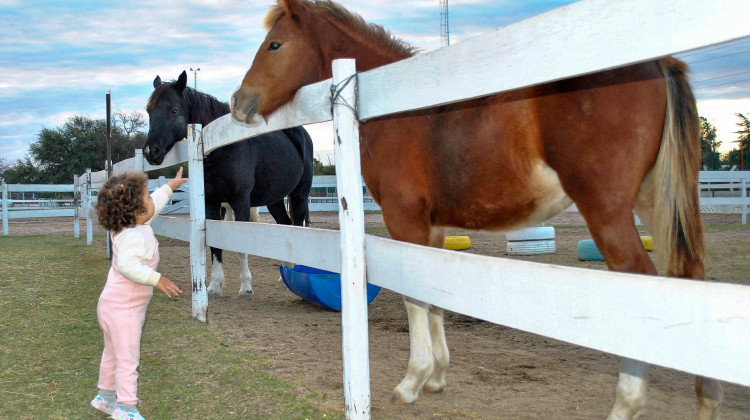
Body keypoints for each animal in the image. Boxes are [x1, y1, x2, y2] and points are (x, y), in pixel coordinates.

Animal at [145, 69, 312, 298]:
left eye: (174, 110)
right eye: (149, 111)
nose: (150, 151)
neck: (223, 148)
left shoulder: (240, 202)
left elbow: (240, 244)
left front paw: (246, 286)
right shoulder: (212, 203)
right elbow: (215, 246)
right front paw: (214, 285)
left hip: (299, 195)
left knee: (297, 225)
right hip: (274, 200)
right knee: (286, 224)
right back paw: (284, 273)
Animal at [232, 1, 724, 418]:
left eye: (275, 44)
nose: (238, 102)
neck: (400, 110)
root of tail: (660, 62)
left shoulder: (406, 222)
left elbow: (414, 295)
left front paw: (411, 382)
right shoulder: (432, 228)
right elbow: (432, 296)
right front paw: (436, 376)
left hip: (607, 211)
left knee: (642, 281)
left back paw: (626, 404)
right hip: (656, 203)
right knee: (692, 277)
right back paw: (706, 401)